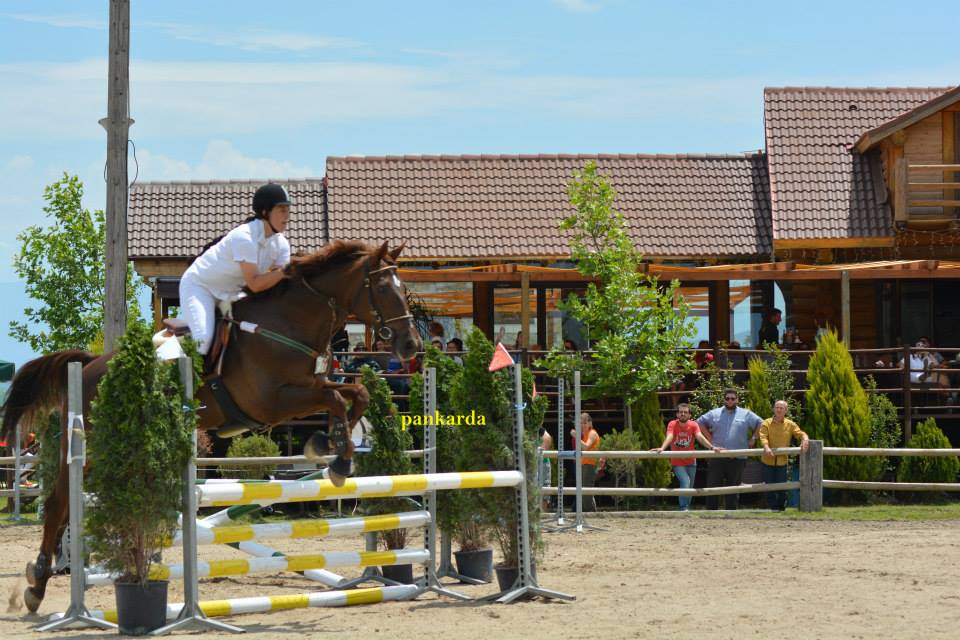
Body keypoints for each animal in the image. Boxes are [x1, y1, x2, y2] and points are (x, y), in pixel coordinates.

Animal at [0, 240, 422, 613]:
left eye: (405, 288)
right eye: (383, 288)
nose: (411, 345)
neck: (287, 323)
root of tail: (88, 365)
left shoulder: (308, 387)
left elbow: (356, 393)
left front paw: (329, 446)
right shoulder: (273, 402)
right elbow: (336, 398)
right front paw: (335, 458)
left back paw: (49, 573)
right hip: (96, 445)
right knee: (59, 502)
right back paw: (38, 583)